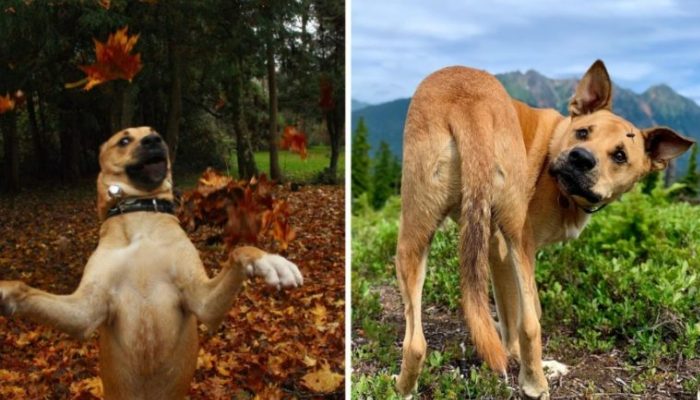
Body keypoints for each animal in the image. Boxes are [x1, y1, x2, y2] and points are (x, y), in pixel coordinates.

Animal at [0, 127, 300, 400]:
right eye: (124, 140)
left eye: (155, 132)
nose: (155, 140)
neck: (140, 214)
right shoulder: (85, 310)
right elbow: (23, 288)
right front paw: (4, 291)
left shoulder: (203, 302)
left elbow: (239, 251)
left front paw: (269, 260)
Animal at [394, 59, 696, 396]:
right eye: (582, 132)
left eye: (620, 156)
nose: (580, 158)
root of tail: (470, 104)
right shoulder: (508, 252)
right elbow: (521, 316)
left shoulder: (503, 252)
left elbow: (516, 317)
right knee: (524, 324)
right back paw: (534, 383)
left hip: (416, 236)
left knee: (417, 342)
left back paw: (406, 388)